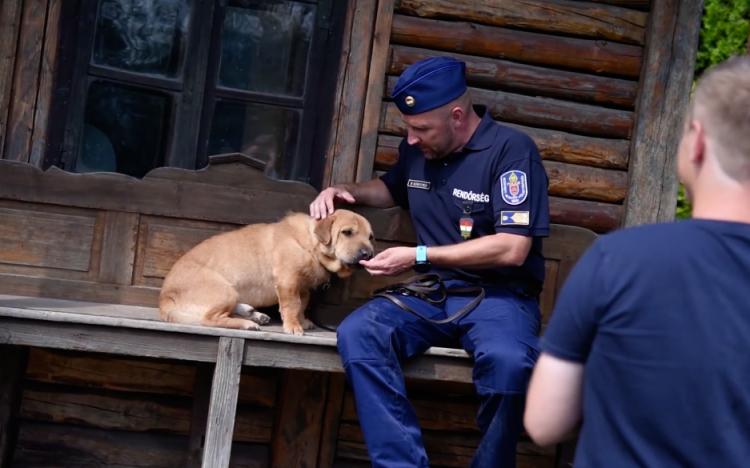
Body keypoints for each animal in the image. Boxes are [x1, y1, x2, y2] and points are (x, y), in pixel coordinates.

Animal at [162, 210, 378, 334]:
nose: (368, 254)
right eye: (347, 232)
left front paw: (301, 321)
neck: (310, 244)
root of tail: (164, 299)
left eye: (370, 237)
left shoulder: (302, 287)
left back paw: (253, 314)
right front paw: (293, 326)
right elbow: (292, 305)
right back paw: (247, 323)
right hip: (225, 290)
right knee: (209, 319)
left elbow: (303, 303)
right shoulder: (288, 281)